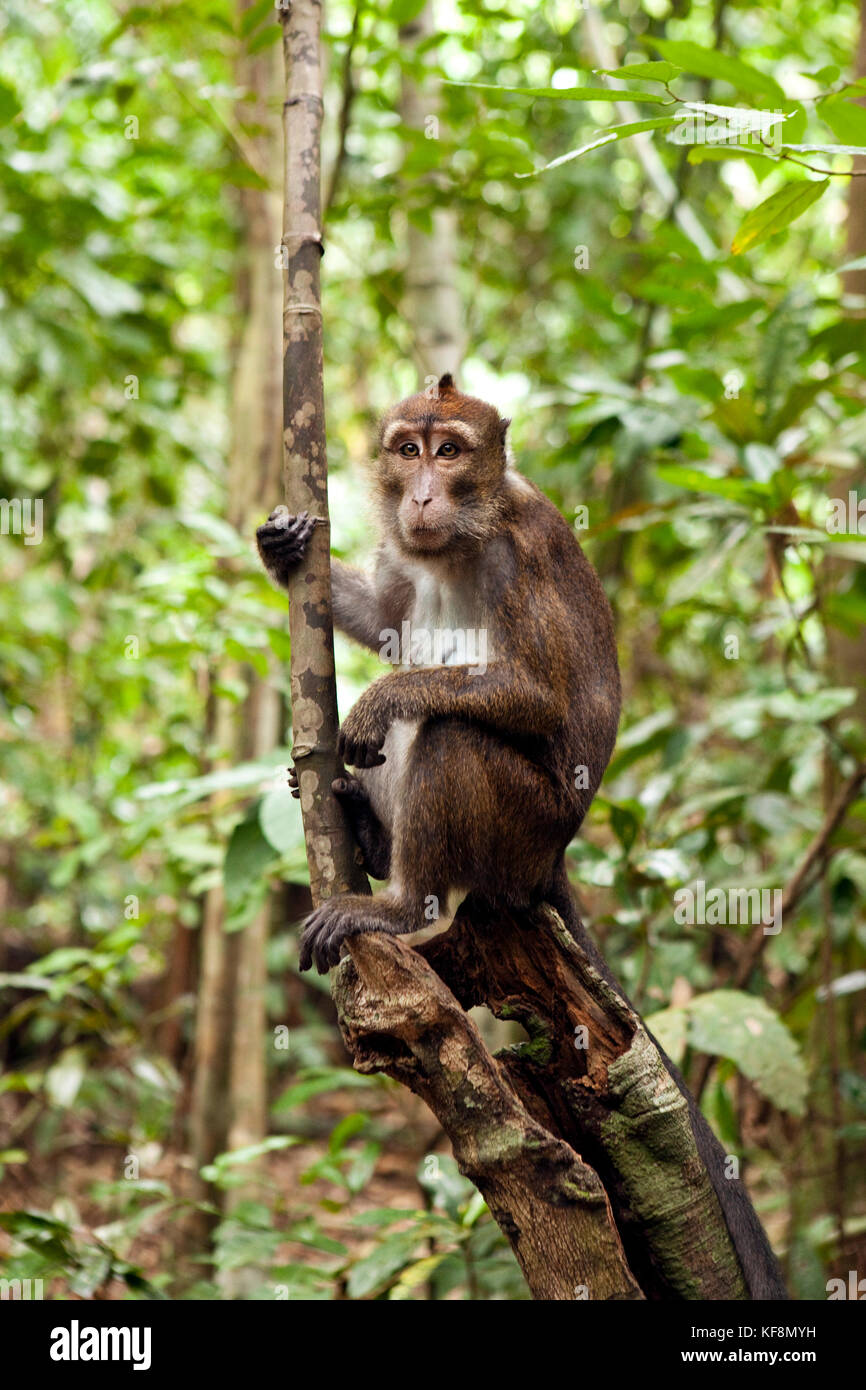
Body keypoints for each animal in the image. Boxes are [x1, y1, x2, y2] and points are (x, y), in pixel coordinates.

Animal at [256, 374, 787, 1300]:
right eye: (407, 449)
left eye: (451, 451)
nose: (421, 494)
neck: (460, 537)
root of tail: (554, 860)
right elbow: (387, 614)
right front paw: (283, 548)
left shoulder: (521, 553)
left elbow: (536, 695)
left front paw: (379, 700)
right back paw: (364, 833)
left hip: (520, 825)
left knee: (448, 732)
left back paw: (402, 904)